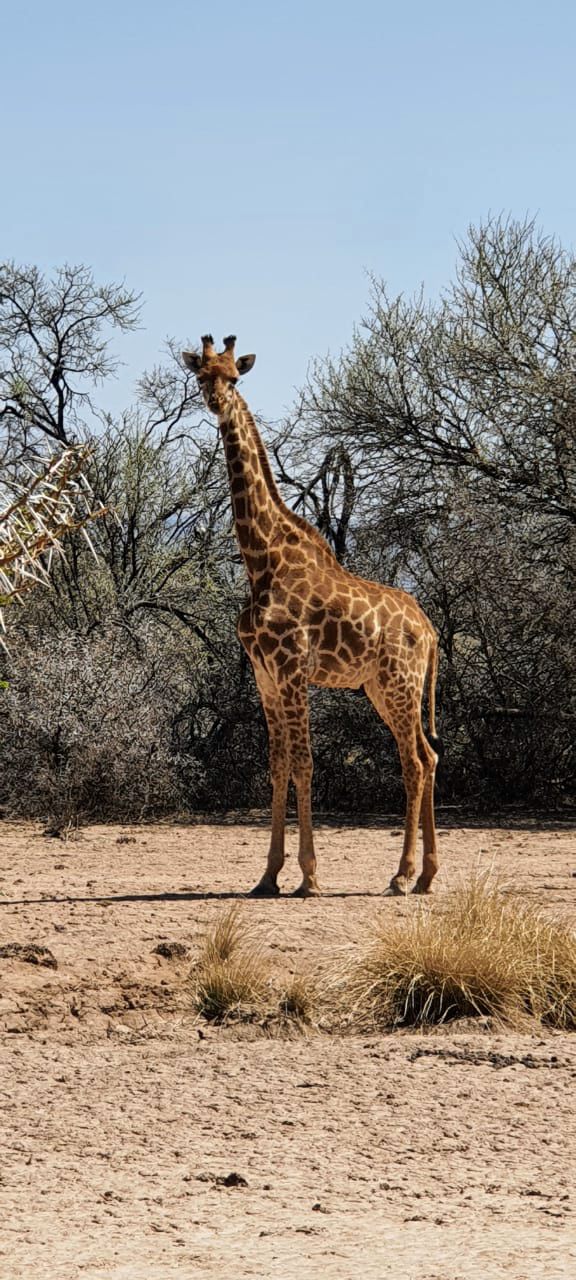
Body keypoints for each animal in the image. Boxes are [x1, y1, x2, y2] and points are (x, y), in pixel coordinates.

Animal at [184, 340, 440, 901]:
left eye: (235, 377)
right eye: (201, 376)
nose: (216, 402)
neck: (261, 561)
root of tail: (430, 630)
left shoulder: (292, 669)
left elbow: (304, 763)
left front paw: (309, 876)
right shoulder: (265, 675)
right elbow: (277, 765)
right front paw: (267, 876)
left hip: (400, 683)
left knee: (413, 762)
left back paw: (402, 875)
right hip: (380, 688)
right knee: (429, 757)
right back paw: (427, 875)